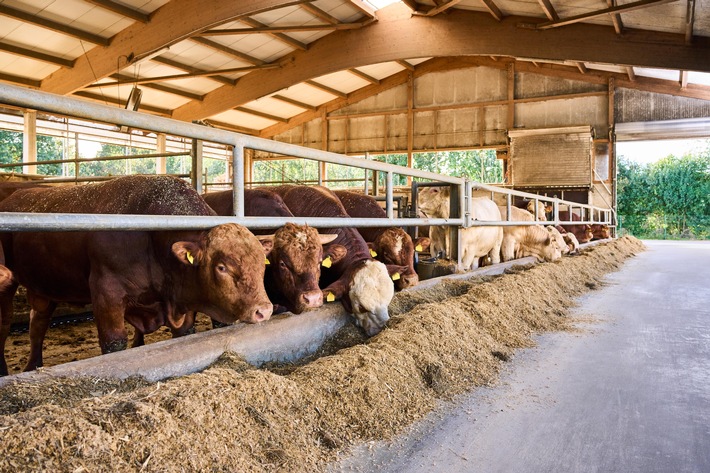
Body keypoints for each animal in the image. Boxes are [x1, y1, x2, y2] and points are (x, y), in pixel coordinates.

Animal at [0, 175, 272, 374]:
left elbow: (183, 333)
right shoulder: (106, 293)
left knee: (38, 324)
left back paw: (33, 365)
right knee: (5, 325)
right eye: (222, 267)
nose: (264, 310)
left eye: (261, 262)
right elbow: (114, 343)